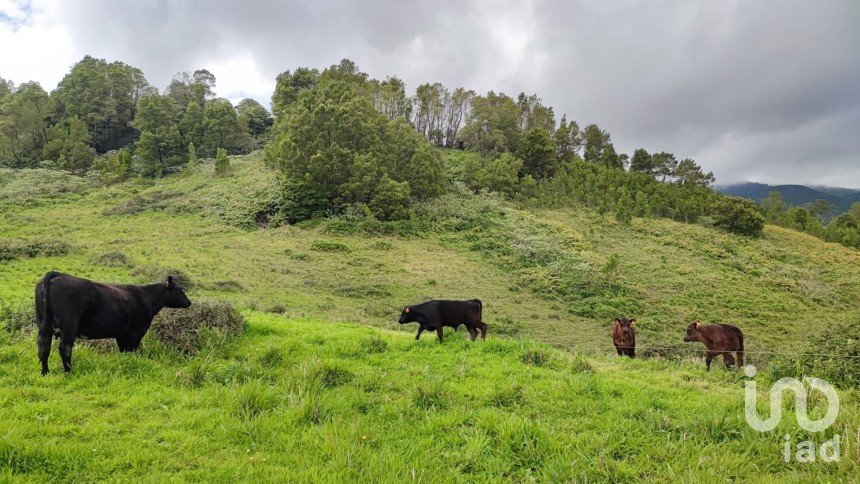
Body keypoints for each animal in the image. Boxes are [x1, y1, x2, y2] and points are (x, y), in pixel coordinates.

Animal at [34, 272, 191, 374]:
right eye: (180, 290)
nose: (189, 302)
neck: (146, 296)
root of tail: (57, 275)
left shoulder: (121, 333)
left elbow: (123, 351)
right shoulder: (137, 331)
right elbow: (132, 350)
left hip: (43, 322)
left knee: (44, 346)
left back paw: (45, 372)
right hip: (69, 325)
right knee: (64, 348)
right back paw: (69, 372)